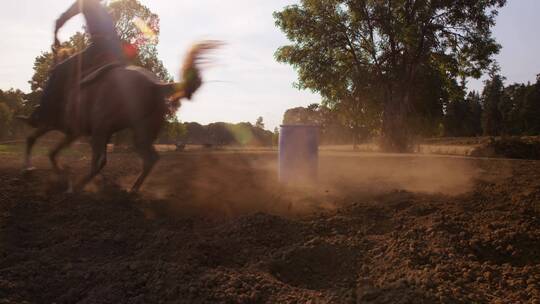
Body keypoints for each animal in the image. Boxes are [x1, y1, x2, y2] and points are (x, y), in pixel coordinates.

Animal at [21, 40, 219, 192]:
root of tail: (155, 85)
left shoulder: (65, 129)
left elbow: (45, 148)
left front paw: (41, 171)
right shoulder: (70, 131)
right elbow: (44, 147)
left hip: (103, 130)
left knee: (101, 161)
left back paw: (79, 186)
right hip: (138, 134)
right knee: (148, 159)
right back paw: (132, 189)